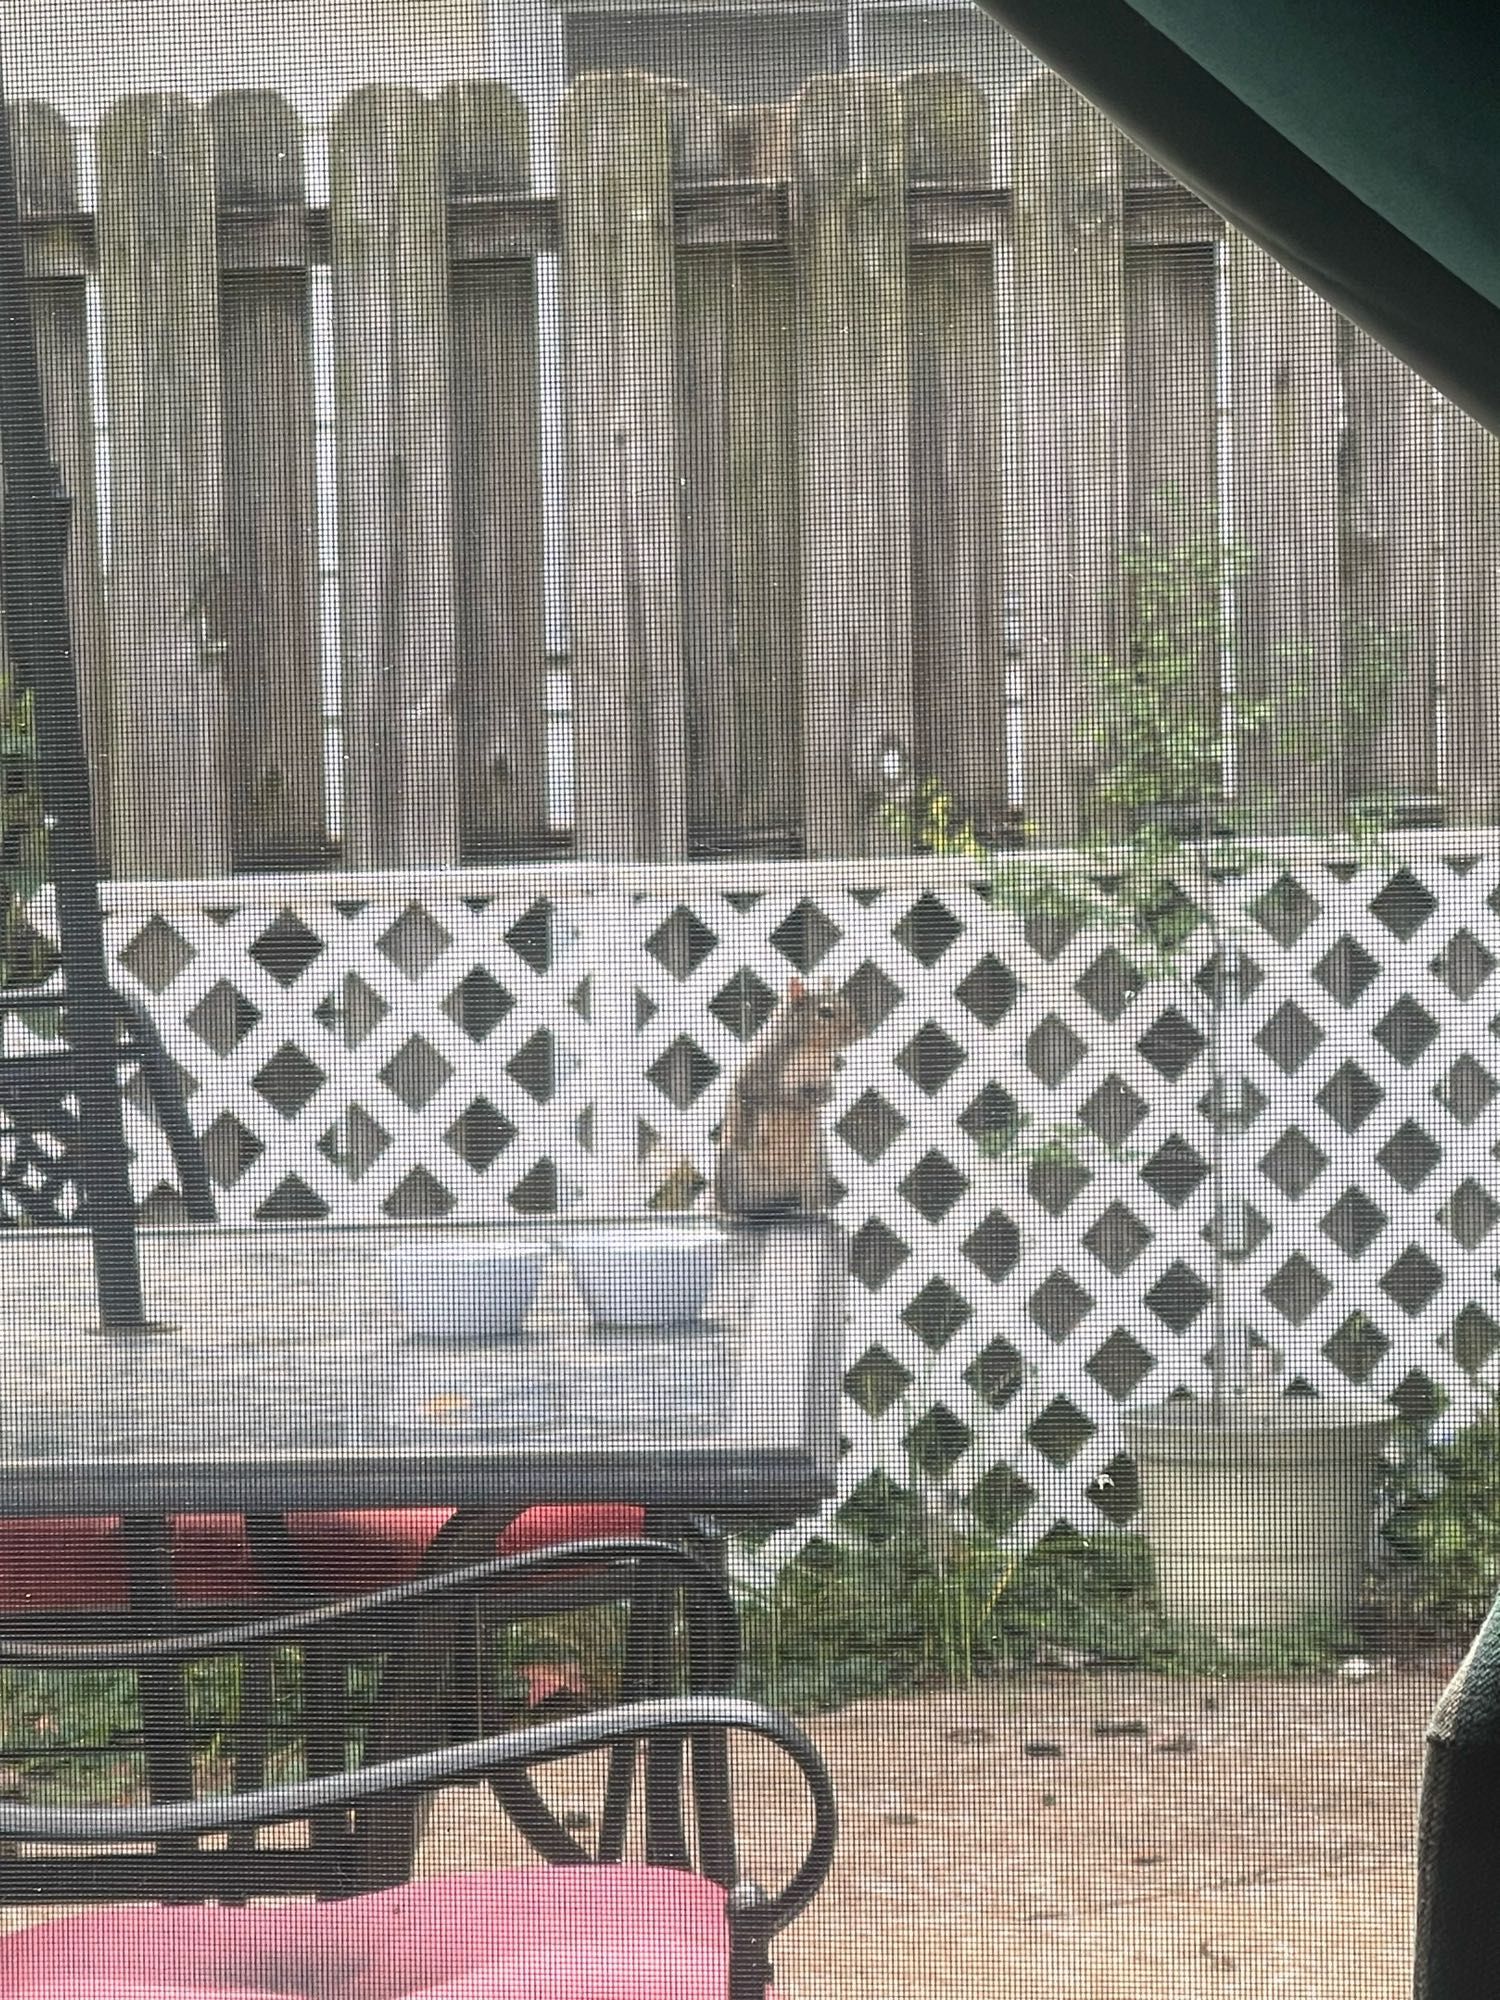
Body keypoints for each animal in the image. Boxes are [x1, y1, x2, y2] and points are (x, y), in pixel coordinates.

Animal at [720, 980, 868, 1216]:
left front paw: (818, 1098)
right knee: (742, 1203)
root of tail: (776, 1191)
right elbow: (762, 1094)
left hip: (813, 1167)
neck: (814, 1050)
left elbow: (829, 1094)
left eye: (847, 1003)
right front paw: (795, 1101)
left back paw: (810, 1209)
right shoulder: (759, 1068)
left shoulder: (825, 1074)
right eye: (825, 1012)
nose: (860, 1029)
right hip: (737, 1168)